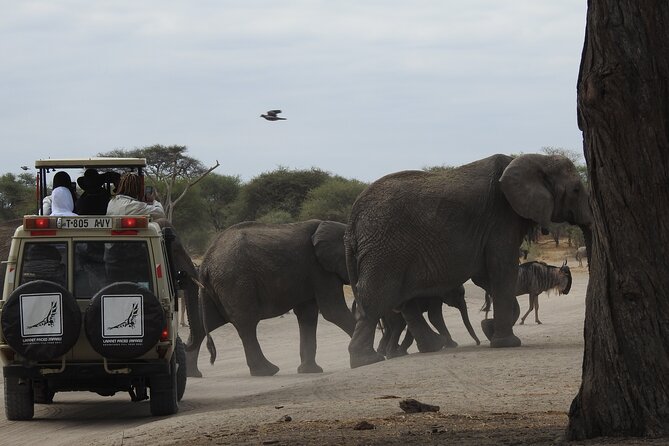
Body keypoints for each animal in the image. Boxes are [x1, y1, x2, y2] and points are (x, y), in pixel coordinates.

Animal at [192, 220, 356, 376]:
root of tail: (206, 260)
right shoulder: (320, 270)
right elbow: (334, 311)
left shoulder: (309, 273)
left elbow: (307, 314)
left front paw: (310, 371)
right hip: (234, 281)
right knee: (246, 323)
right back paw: (267, 371)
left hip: (215, 287)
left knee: (207, 322)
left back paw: (193, 373)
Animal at [345, 153, 592, 368]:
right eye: (576, 189)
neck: (534, 159)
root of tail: (352, 219)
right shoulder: (501, 219)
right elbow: (503, 271)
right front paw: (506, 343)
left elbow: (488, 278)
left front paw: (488, 329)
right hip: (385, 249)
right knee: (378, 296)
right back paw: (366, 360)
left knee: (402, 301)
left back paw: (431, 347)